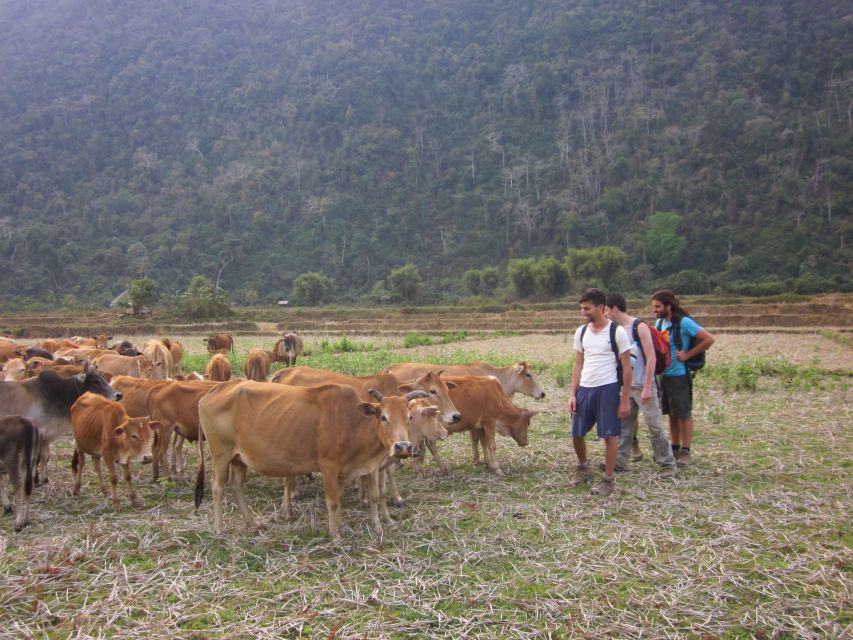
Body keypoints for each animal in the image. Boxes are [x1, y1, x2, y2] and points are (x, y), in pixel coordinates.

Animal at [196, 380, 416, 540]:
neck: (352, 423)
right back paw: (219, 528)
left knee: (237, 487)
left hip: (239, 459)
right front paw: (335, 535)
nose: (403, 447)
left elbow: (355, 498)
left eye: (410, 417)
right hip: (221, 455)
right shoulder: (329, 467)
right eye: (383, 417)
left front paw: (352, 525)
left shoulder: (353, 470)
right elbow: (333, 501)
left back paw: (253, 523)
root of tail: (219, 387)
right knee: (217, 487)